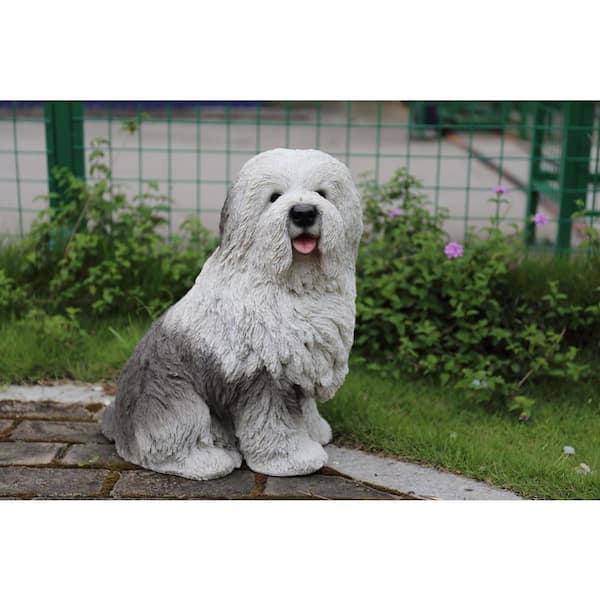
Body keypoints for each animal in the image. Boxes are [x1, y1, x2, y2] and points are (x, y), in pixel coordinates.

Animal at [101, 148, 364, 480]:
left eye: (322, 193)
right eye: (274, 197)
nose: (304, 213)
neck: (292, 283)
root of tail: (119, 421)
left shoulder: (300, 363)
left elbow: (304, 408)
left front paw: (316, 432)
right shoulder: (263, 375)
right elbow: (274, 422)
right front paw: (293, 460)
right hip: (176, 399)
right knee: (163, 445)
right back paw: (209, 461)